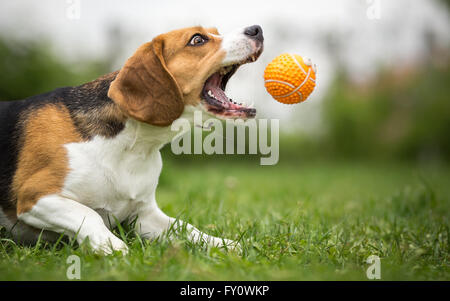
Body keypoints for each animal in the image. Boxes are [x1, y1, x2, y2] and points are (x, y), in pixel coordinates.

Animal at [0, 25, 264, 253]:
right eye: (197, 39)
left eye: (215, 31)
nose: (256, 29)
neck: (132, 147)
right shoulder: (35, 198)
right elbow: (89, 214)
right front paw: (113, 247)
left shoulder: (143, 216)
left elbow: (186, 227)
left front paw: (223, 244)